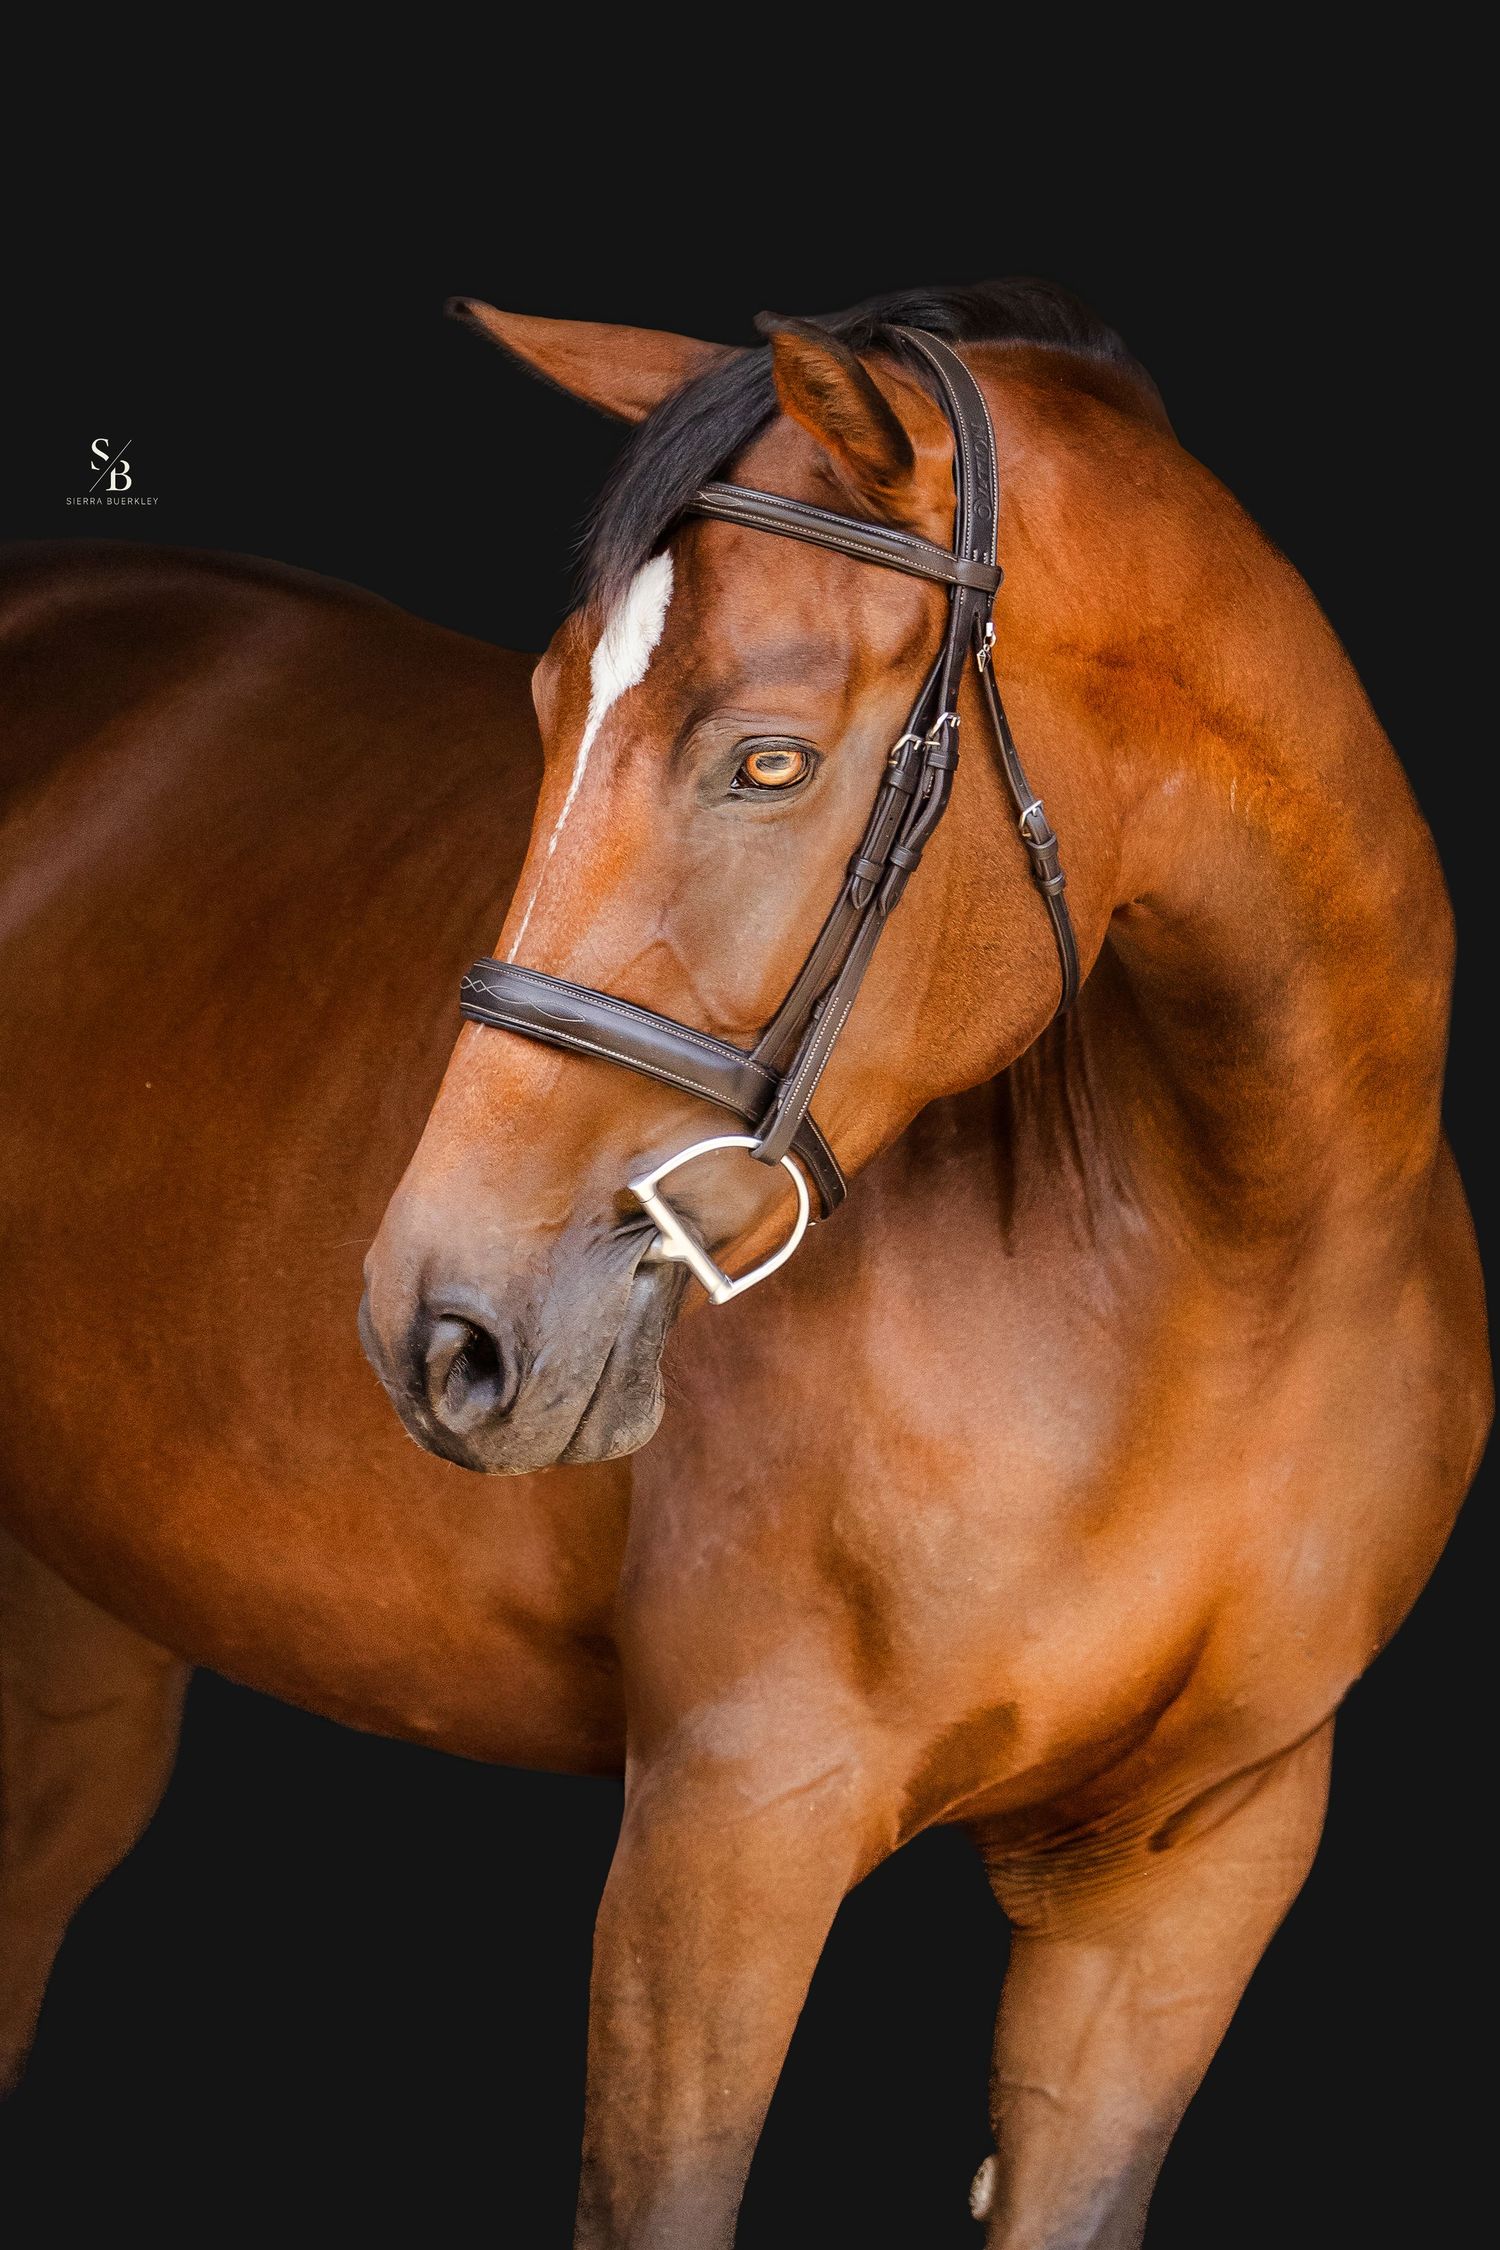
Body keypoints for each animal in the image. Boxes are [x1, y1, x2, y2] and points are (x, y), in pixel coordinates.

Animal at [362, 281, 1491, 2249]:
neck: (1236, 1278)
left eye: (770, 760)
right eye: (548, 708)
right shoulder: (727, 1832)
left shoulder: (1192, 1876)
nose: (441, 1330)